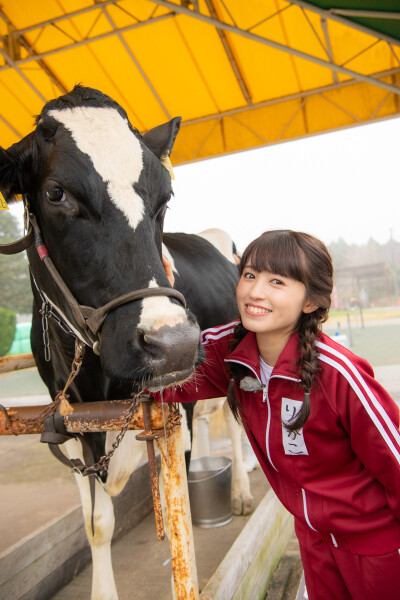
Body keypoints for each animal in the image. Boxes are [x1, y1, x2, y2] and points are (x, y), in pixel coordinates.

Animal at [0, 85, 252, 600]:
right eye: (55, 193)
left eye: (165, 196)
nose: (173, 342)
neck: (95, 378)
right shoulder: (67, 422)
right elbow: (96, 524)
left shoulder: (177, 412)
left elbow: (177, 522)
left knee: (234, 427)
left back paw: (240, 490)